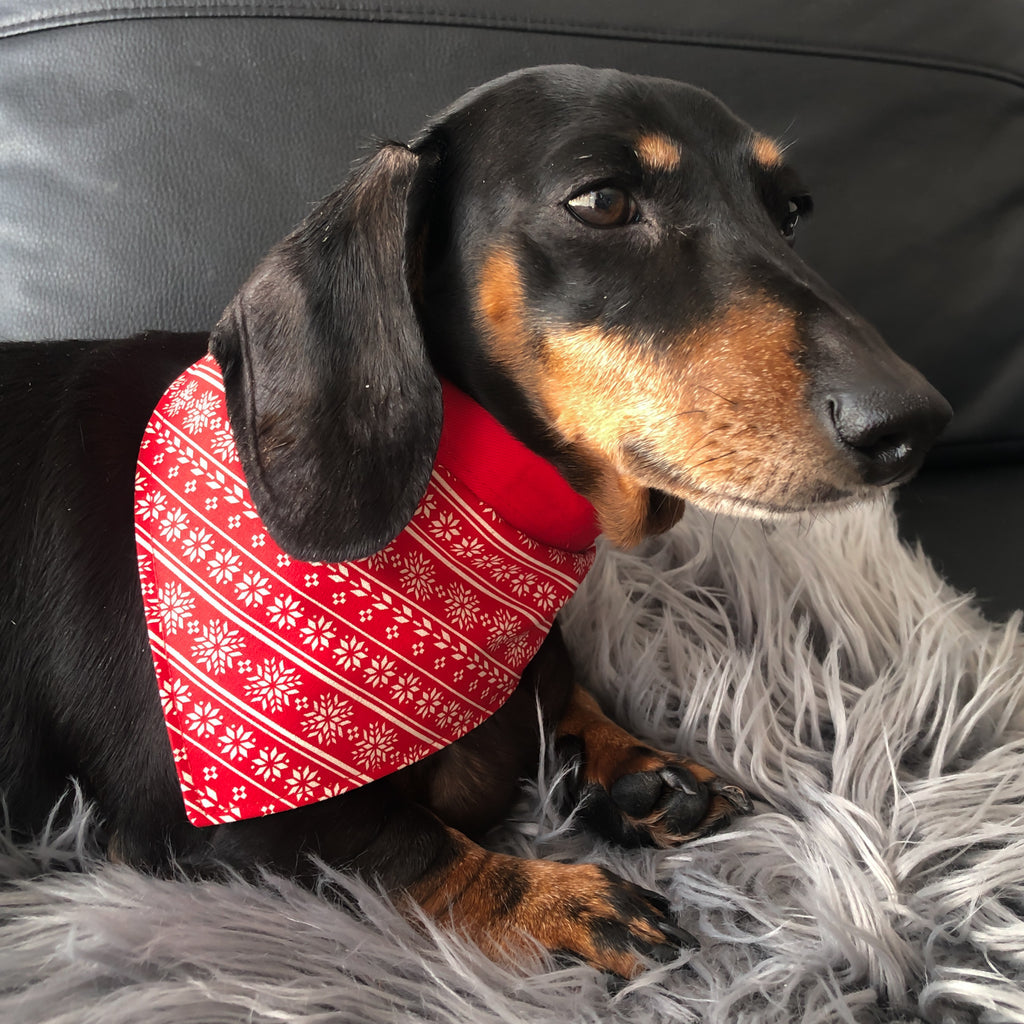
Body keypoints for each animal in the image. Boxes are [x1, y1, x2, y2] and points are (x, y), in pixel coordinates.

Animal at [0, 64, 950, 974]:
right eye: (602, 201)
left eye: (789, 214)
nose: (914, 424)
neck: (468, 530)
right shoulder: (201, 823)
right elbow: (405, 846)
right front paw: (555, 900)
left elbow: (563, 692)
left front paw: (640, 769)